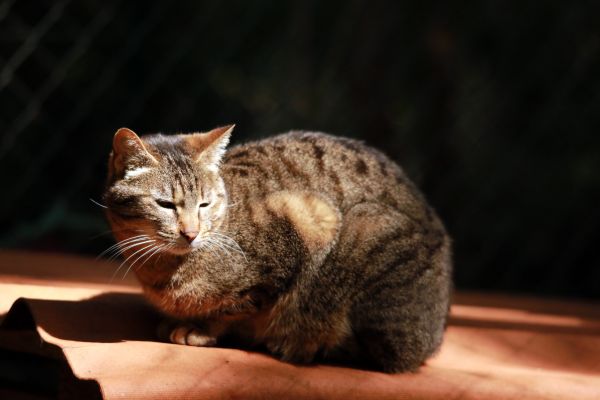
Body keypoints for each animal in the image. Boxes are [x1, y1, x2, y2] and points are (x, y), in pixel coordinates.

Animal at [103, 124, 450, 372]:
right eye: (165, 204)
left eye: (204, 203)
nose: (191, 233)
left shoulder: (309, 220)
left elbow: (236, 306)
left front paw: (199, 328)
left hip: (368, 231)